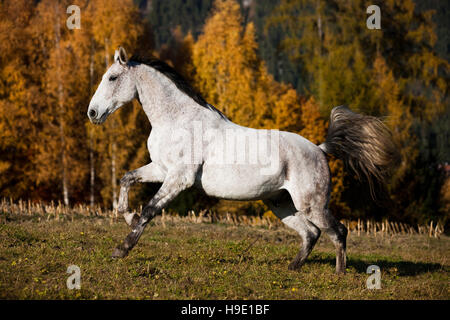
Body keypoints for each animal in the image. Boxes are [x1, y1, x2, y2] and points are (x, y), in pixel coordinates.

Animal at [88, 47, 398, 272]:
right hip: (281, 204)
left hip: (312, 204)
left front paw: (121, 249)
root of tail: (320, 150)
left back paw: (339, 273)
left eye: (112, 77)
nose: (92, 113)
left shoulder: (178, 179)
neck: (179, 121)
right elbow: (126, 178)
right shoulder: (161, 170)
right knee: (311, 233)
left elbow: (149, 210)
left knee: (338, 231)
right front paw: (127, 216)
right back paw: (292, 267)